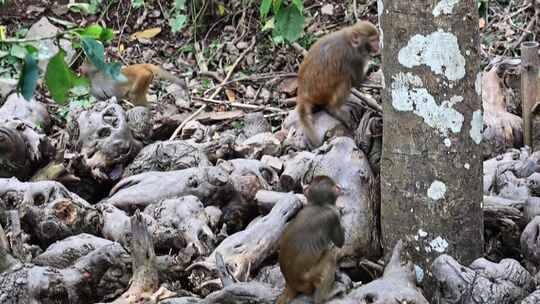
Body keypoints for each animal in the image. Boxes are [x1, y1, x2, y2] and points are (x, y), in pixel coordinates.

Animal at [276, 176, 344, 304]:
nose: (339, 187)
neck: (318, 204)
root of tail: (290, 283)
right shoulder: (333, 215)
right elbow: (339, 243)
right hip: (307, 279)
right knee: (330, 256)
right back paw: (323, 297)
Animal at [296, 20, 380, 148]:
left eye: (377, 39)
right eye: (373, 40)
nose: (378, 45)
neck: (350, 42)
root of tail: (303, 93)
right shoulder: (354, 58)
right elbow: (357, 82)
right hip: (323, 91)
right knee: (345, 80)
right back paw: (334, 109)